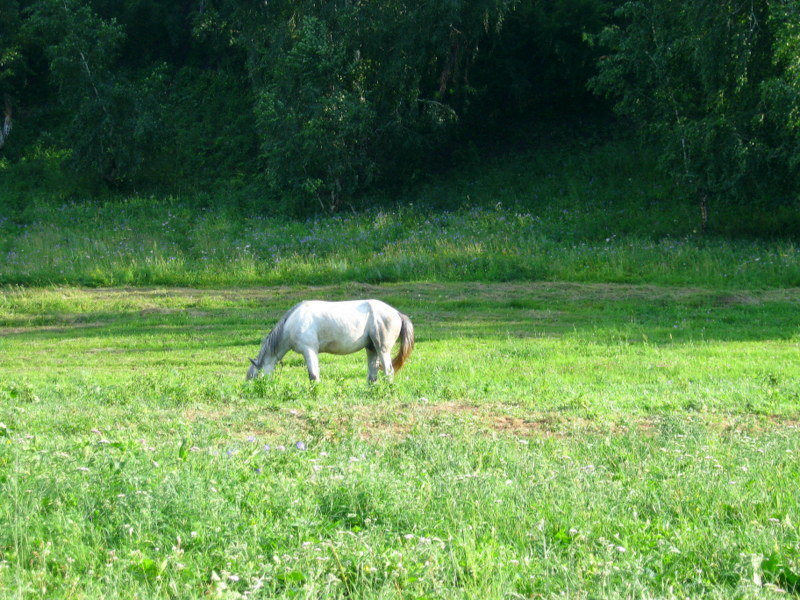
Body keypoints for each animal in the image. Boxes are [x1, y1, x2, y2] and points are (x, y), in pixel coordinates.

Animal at [247, 298, 416, 380]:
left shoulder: (309, 351)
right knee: (372, 375)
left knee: (388, 371)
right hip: (371, 349)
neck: (292, 322)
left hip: (382, 349)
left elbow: (313, 375)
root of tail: (397, 313)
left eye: (255, 377)